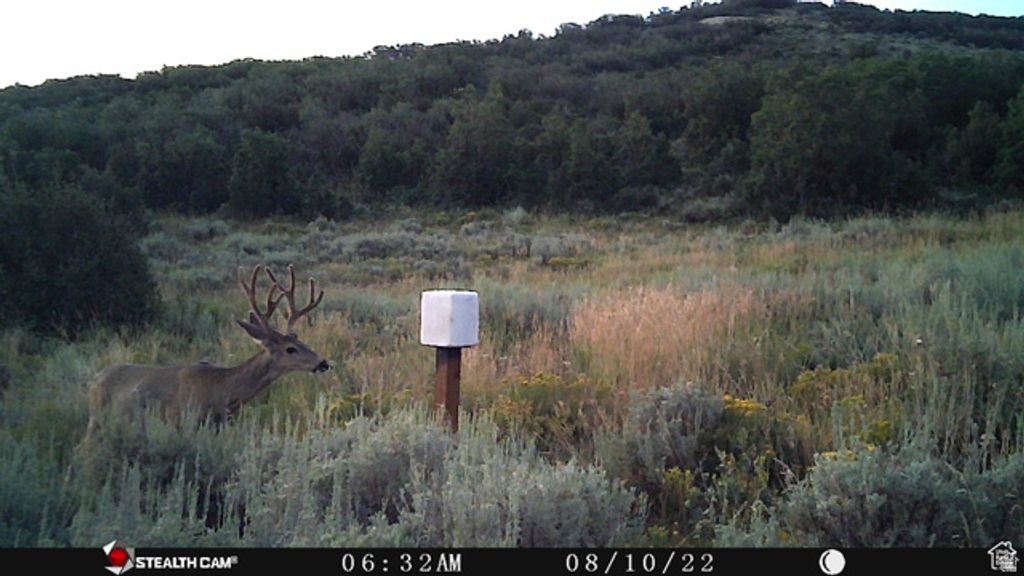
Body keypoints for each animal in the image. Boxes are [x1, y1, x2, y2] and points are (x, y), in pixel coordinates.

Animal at [83, 264, 331, 446]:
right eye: (290, 348)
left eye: (301, 340)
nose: (324, 362)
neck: (221, 391)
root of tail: (95, 379)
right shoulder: (179, 420)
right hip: (97, 417)